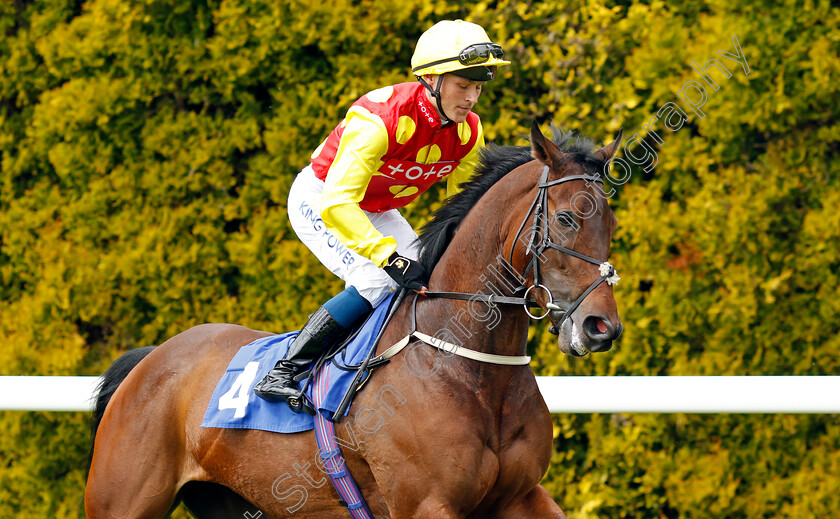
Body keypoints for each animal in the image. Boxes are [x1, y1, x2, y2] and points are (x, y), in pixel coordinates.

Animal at [85, 123, 624, 519]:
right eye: (567, 219)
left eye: (611, 222)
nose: (602, 327)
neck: (466, 367)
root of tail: (150, 359)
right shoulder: (426, 504)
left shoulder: (521, 495)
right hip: (121, 500)